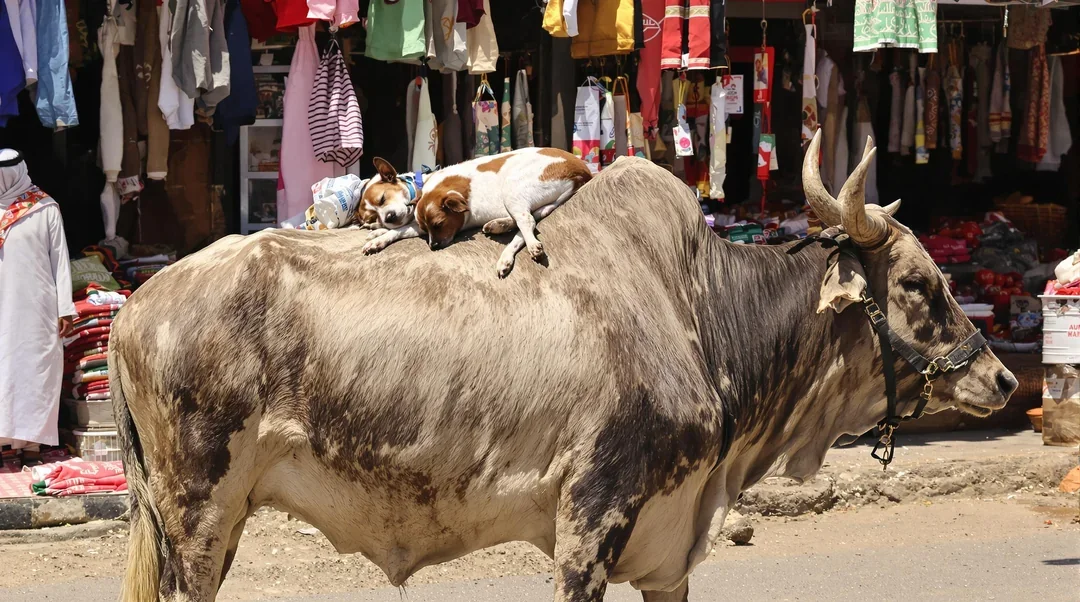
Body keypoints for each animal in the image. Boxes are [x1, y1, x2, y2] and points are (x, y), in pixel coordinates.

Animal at [367, 146, 596, 278]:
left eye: (439, 224)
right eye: (427, 230)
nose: (433, 247)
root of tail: (583, 172)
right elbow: (397, 231)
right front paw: (377, 239)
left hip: (512, 187)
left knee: (527, 223)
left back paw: (528, 246)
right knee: (526, 223)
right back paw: (502, 239)